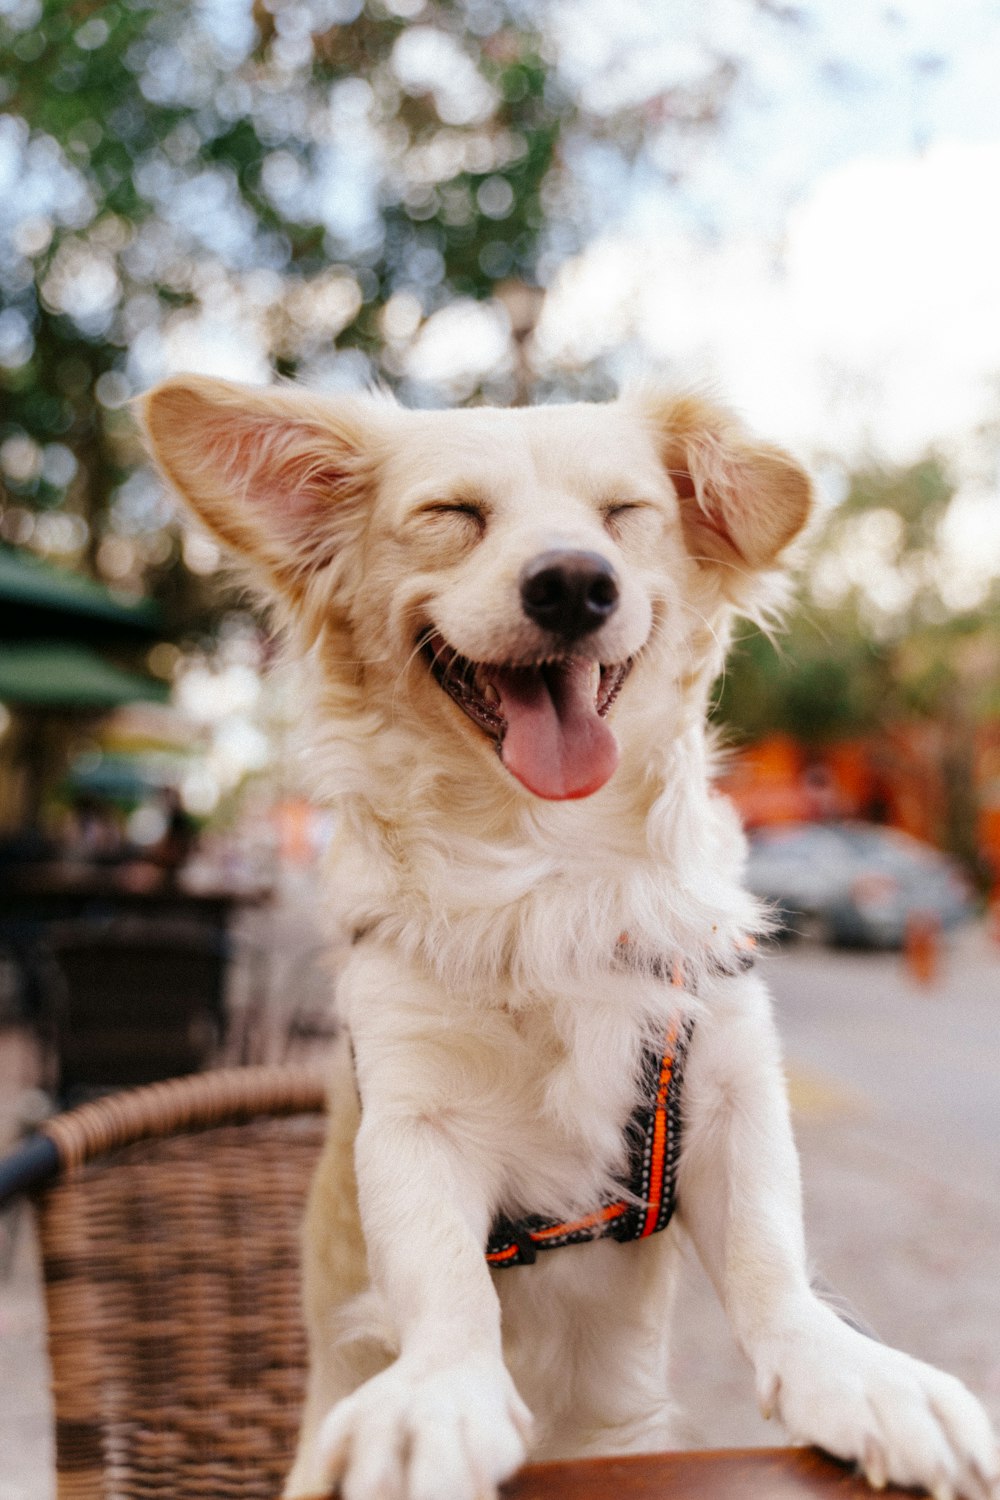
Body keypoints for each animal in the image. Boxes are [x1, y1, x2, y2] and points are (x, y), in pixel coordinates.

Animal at [142, 378, 1000, 1500]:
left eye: (624, 515)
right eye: (453, 514)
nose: (573, 583)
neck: (551, 867)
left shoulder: (726, 1085)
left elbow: (771, 1258)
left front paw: (853, 1374)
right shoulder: (408, 1114)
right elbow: (441, 1274)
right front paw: (437, 1397)